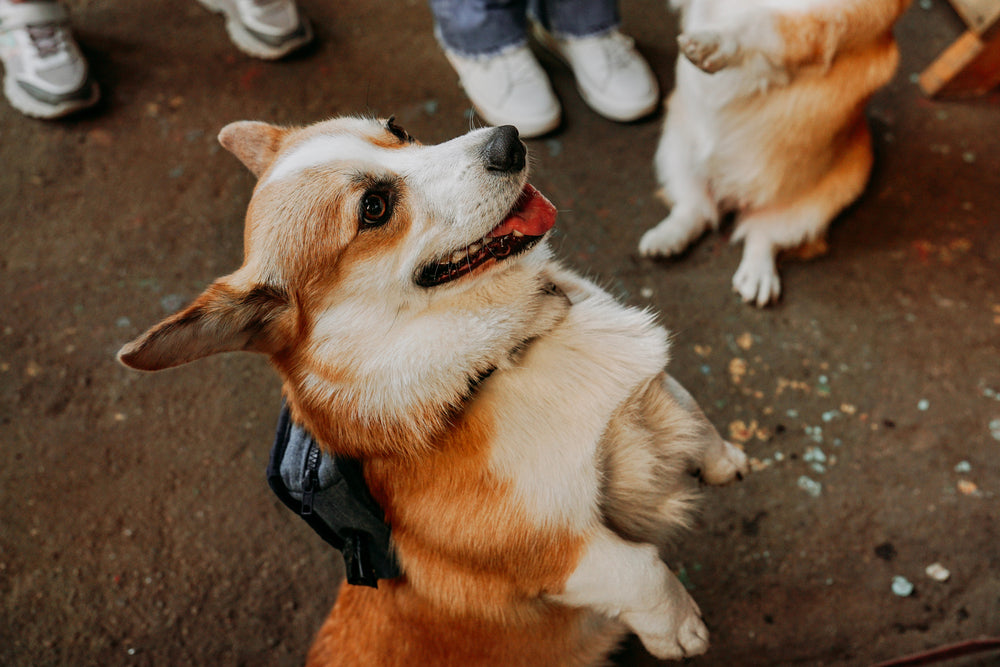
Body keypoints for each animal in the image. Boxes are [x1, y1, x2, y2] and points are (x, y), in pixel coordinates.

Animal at [117, 117, 748, 664]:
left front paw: (725, 463)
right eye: (374, 207)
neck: (507, 354)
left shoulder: (653, 392)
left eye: (397, 129)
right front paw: (680, 631)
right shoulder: (565, 551)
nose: (509, 139)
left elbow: (691, 410)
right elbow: (643, 572)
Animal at [640, 0, 916, 306]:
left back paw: (757, 275)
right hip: (674, 146)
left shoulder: (835, 17)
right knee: (696, 209)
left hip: (829, 194)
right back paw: (667, 239)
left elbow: (761, 22)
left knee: (763, 236)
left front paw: (717, 42)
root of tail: (734, 199)